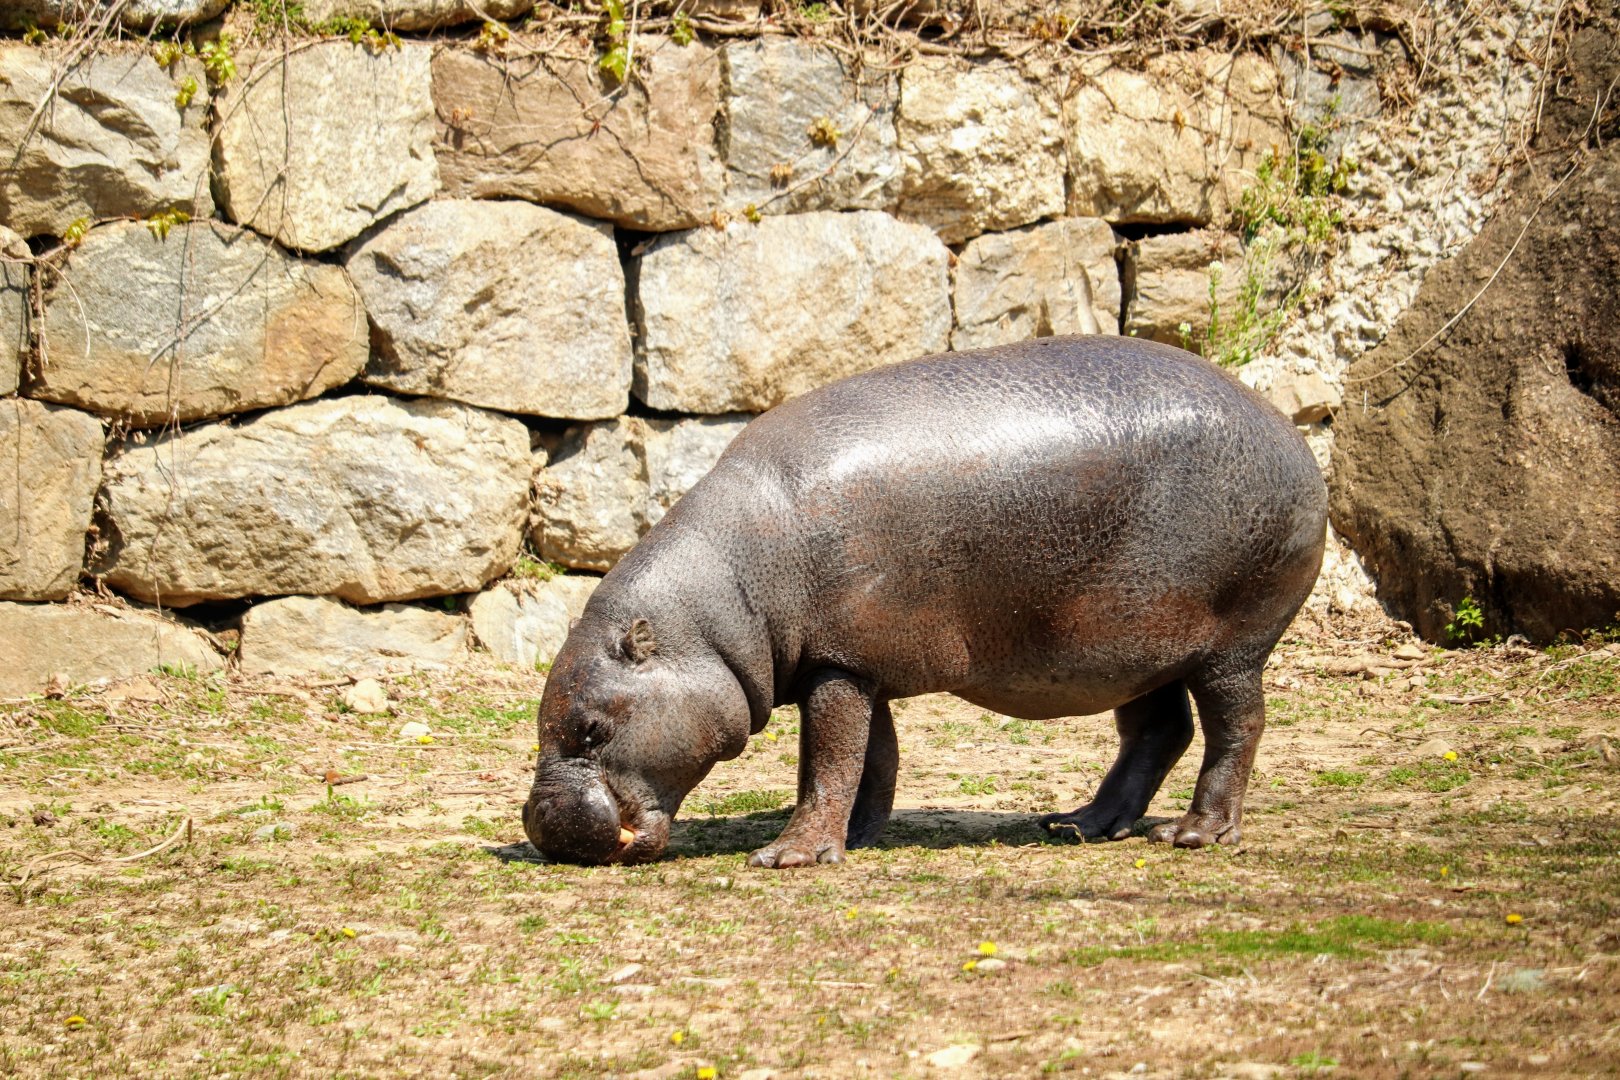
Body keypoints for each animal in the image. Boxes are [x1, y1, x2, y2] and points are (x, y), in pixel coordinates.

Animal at [522, 335, 1327, 868]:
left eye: (591, 729)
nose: (540, 823)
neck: (726, 607)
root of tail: (1288, 430)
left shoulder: (838, 667)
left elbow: (827, 757)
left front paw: (787, 855)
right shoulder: (856, 663)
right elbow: (869, 759)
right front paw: (857, 836)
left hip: (1231, 645)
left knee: (1236, 727)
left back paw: (1196, 834)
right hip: (1135, 647)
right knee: (1158, 732)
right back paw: (1079, 824)